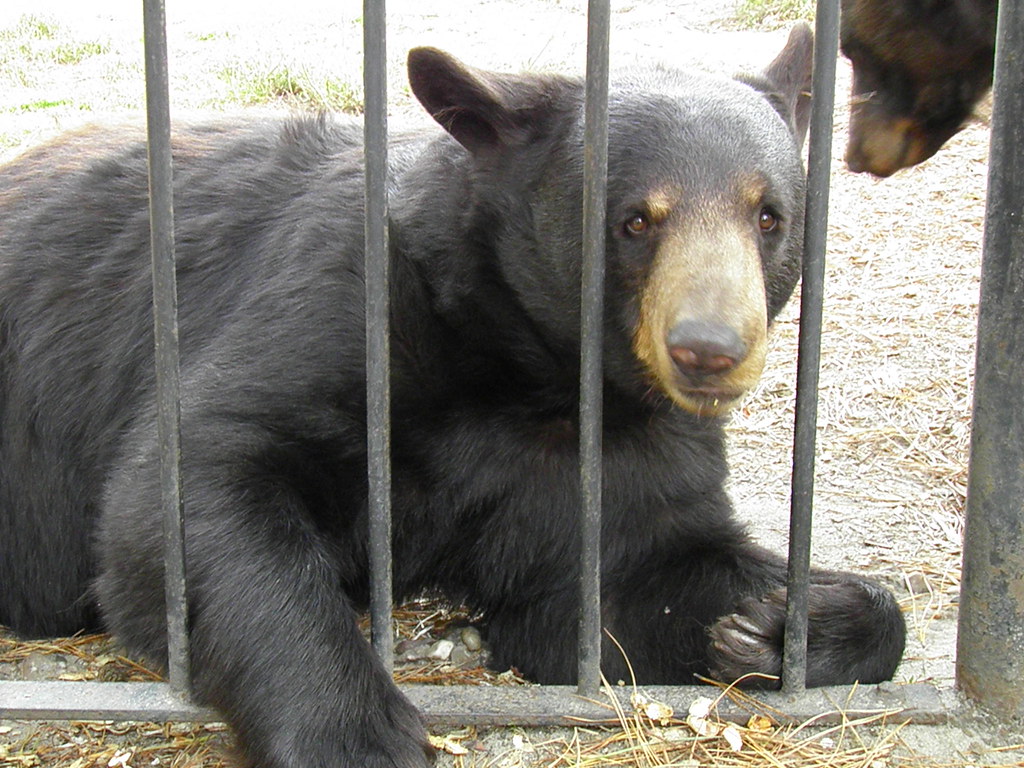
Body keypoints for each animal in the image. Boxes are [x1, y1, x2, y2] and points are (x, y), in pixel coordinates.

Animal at [0, 25, 905, 768]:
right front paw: (356, 735)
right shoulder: (342, 304)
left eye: (768, 215)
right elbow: (193, 479)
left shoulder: (615, 449)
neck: (533, 369)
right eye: (635, 220)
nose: (709, 351)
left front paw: (786, 622)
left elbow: (622, 582)